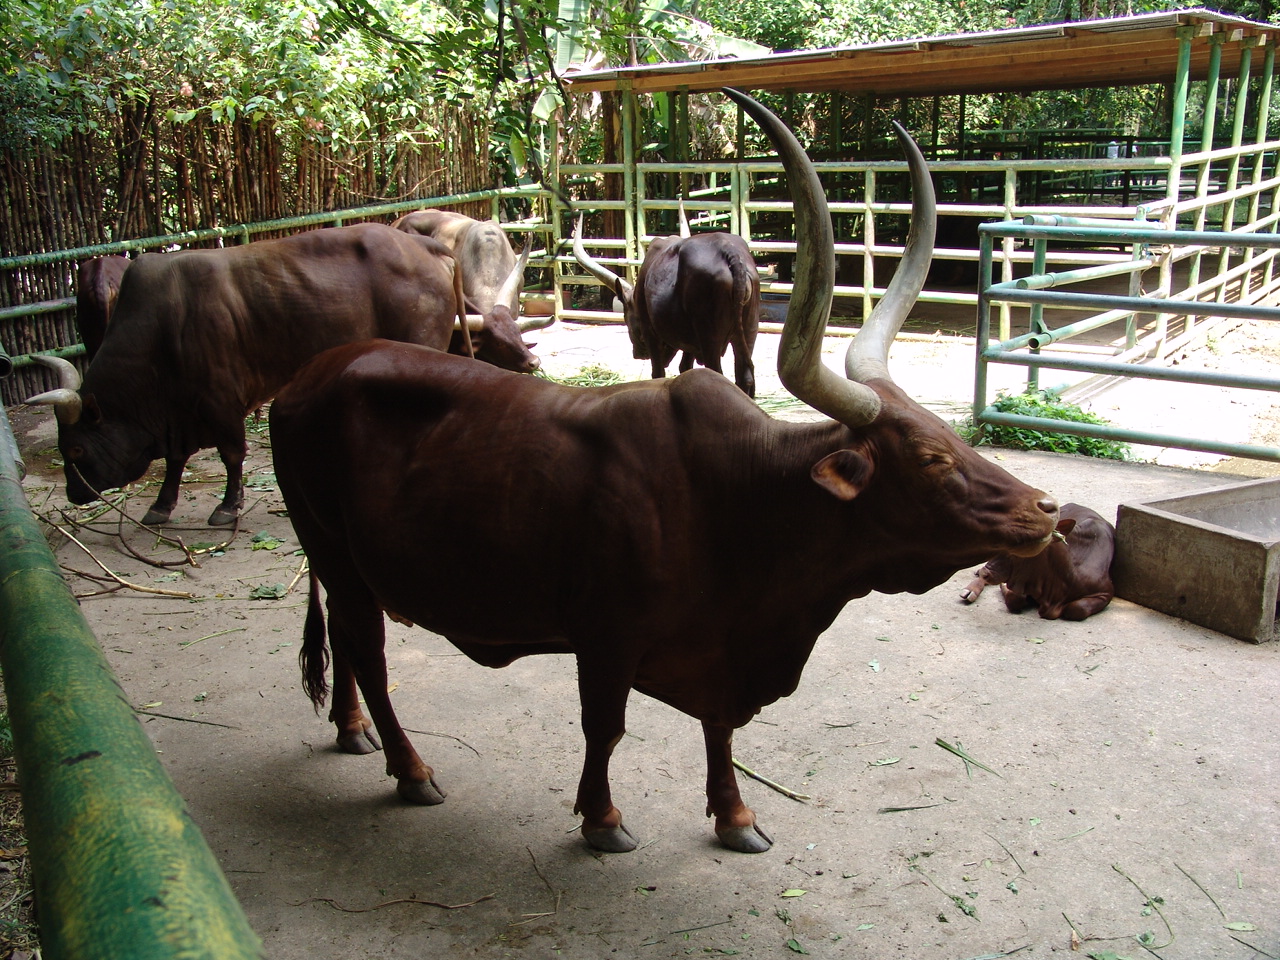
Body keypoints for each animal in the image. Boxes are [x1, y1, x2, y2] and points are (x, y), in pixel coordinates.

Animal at [25, 223, 483, 527]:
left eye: (77, 449)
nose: (74, 494)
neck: (162, 326)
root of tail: (421, 243)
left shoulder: (220, 399)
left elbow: (232, 454)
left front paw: (228, 507)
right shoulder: (180, 412)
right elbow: (175, 460)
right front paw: (161, 505)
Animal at [571, 202, 759, 397]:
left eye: (627, 319)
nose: (637, 353)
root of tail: (729, 251)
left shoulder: (650, 333)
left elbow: (658, 372)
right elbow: (685, 367)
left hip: (710, 337)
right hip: (748, 331)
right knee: (745, 376)